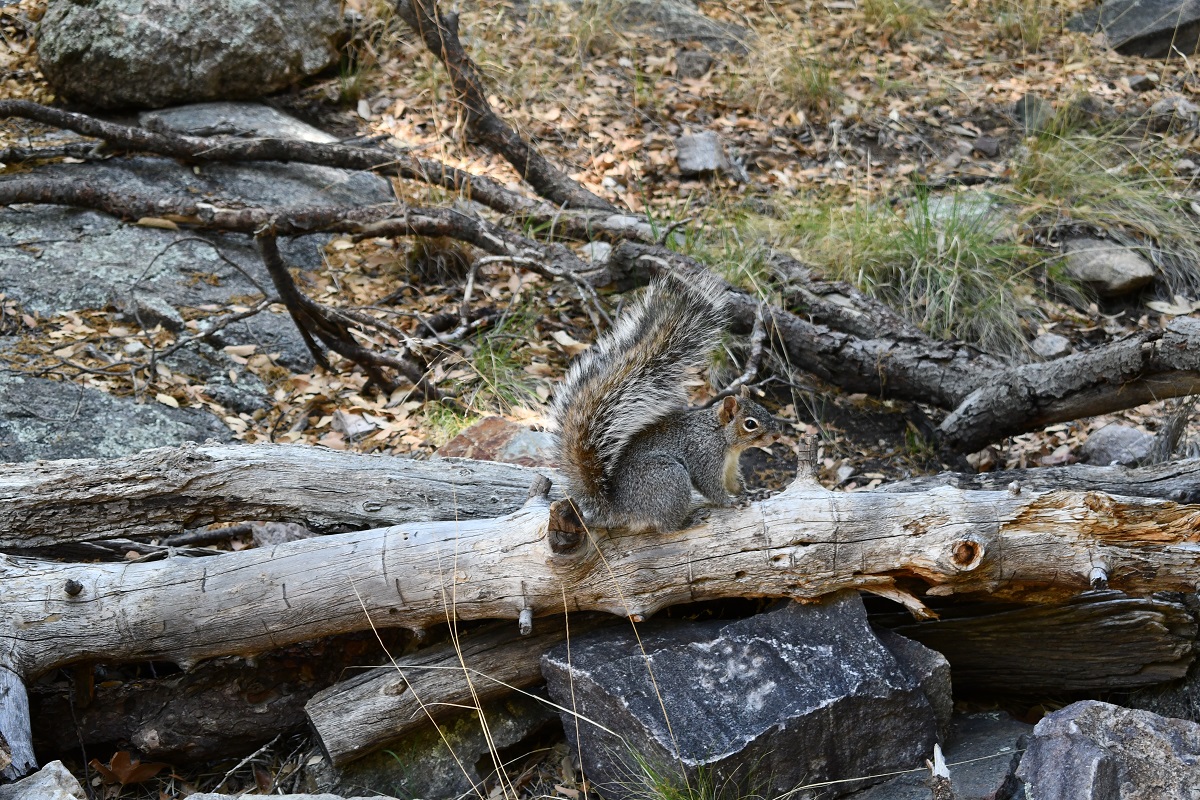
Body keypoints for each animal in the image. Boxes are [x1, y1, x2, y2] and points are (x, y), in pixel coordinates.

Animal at [549, 272, 777, 534]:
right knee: (666, 527)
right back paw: (687, 521)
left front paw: (752, 493)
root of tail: (618, 510)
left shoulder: (730, 466)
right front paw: (731, 502)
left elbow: (734, 483)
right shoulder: (704, 456)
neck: (724, 440)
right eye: (750, 423)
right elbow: (711, 487)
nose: (777, 436)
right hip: (670, 478)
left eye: (764, 409)